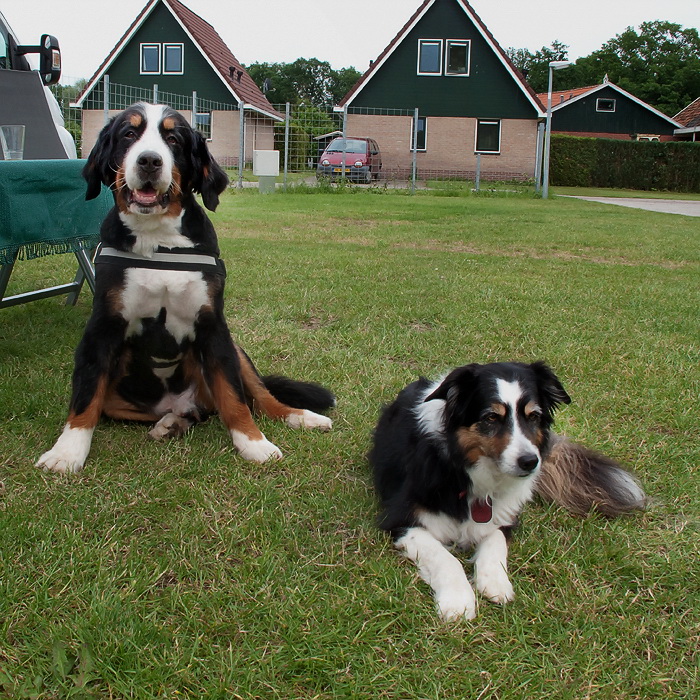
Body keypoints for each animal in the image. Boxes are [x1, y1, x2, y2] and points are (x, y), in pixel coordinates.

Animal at [37, 104, 334, 474]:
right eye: (129, 134)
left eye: (174, 139)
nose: (149, 161)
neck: (159, 240)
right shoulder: (103, 326)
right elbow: (86, 393)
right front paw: (68, 450)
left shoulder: (213, 328)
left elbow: (235, 399)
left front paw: (253, 443)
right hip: (125, 395)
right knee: (174, 411)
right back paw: (172, 422)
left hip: (237, 351)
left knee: (259, 398)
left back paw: (302, 417)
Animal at [370, 364, 648, 620]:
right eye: (491, 417)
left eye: (533, 416)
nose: (530, 462)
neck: (464, 470)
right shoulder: (402, 520)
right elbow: (444, 557)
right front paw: (458, 600)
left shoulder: (505, 514)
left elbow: (495, 541)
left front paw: (494, 582)